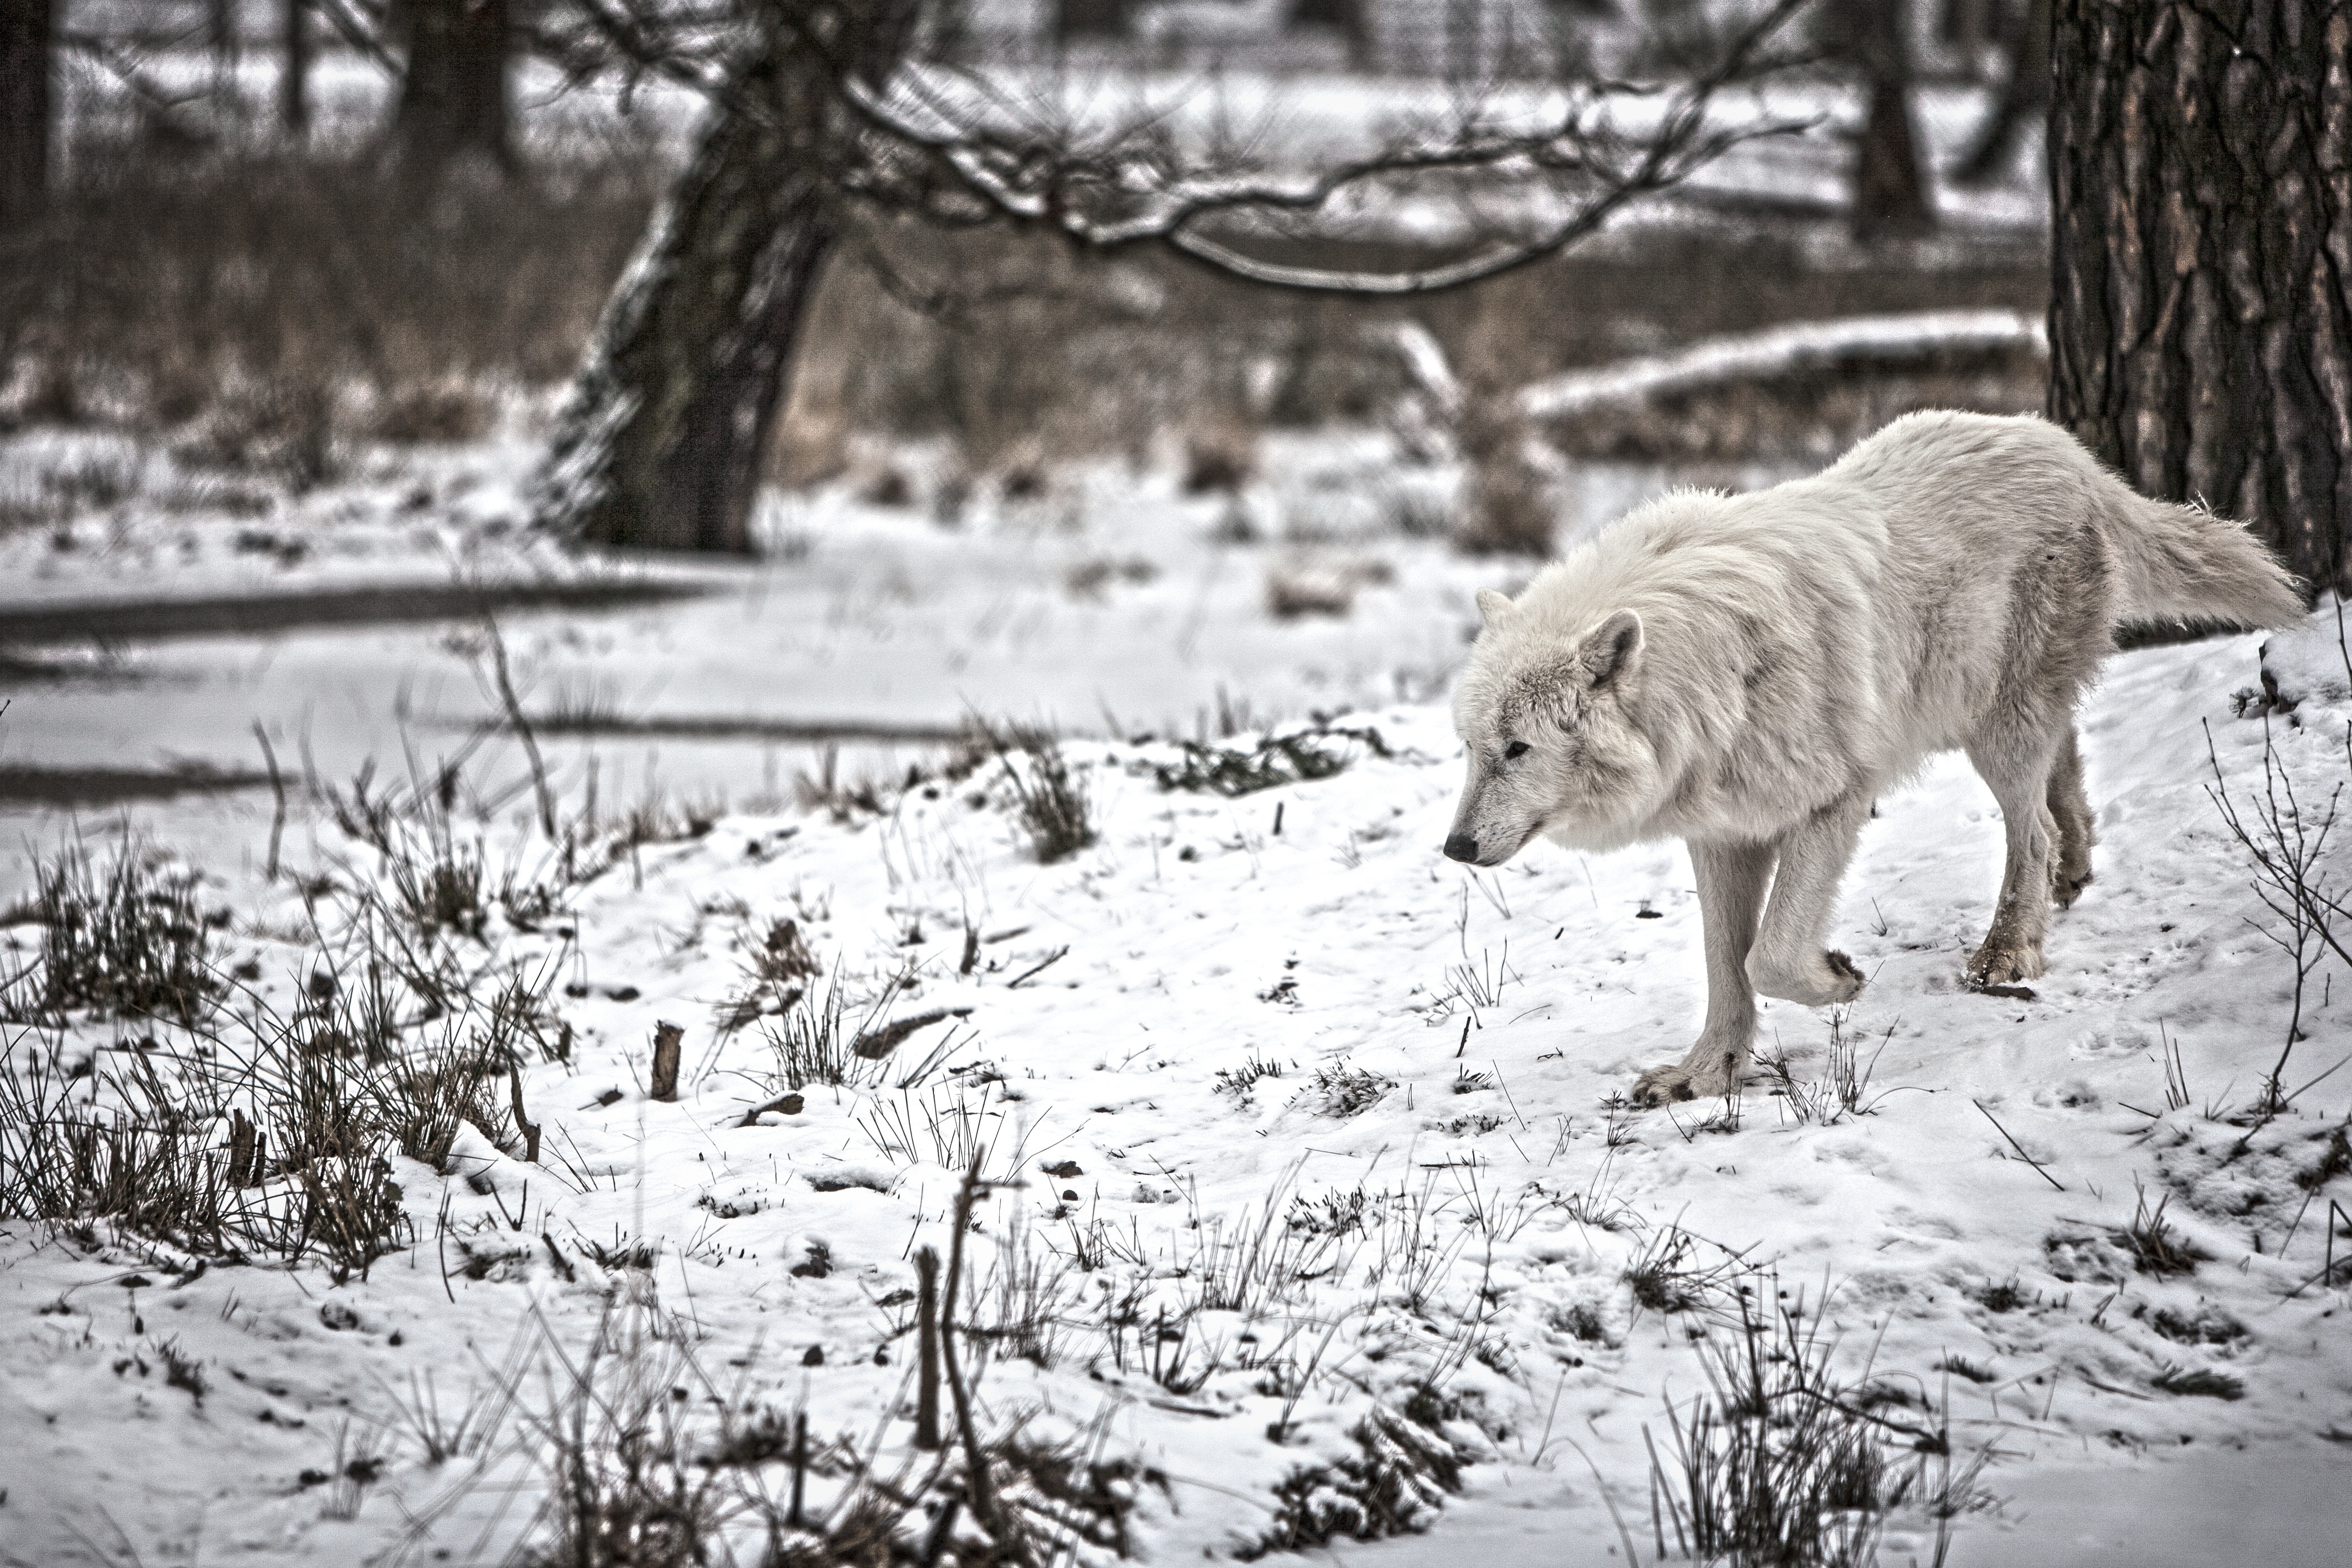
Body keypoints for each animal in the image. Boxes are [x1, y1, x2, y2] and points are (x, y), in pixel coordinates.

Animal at [1443, 410, 2303, 1104]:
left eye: (1518, 749)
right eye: (1472, 748)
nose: (1454, 847)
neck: (1710, 679)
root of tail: (2073, 455)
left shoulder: (1833, 801)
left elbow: (1768, 957)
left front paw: (1838, 977)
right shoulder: (1721, 833)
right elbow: (1726, 965)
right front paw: (1706, 1075)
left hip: (1995, 730)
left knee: (2030, 830)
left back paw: (2006, 950)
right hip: (1986, 710)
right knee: (2062, 777)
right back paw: (2074, 870)